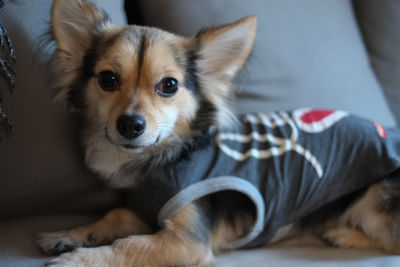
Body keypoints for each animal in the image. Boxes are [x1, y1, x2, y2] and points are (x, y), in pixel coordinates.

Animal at [38, 0, 400, 267]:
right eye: (108, 79)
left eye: (169, 85)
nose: (130, 124)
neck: (168, 157)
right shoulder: (145, 212)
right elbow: (114, 215)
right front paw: (69, 234)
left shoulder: (187, 242)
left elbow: (128, 246)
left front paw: (79, 259)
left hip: (375, 201)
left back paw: (344, 235)